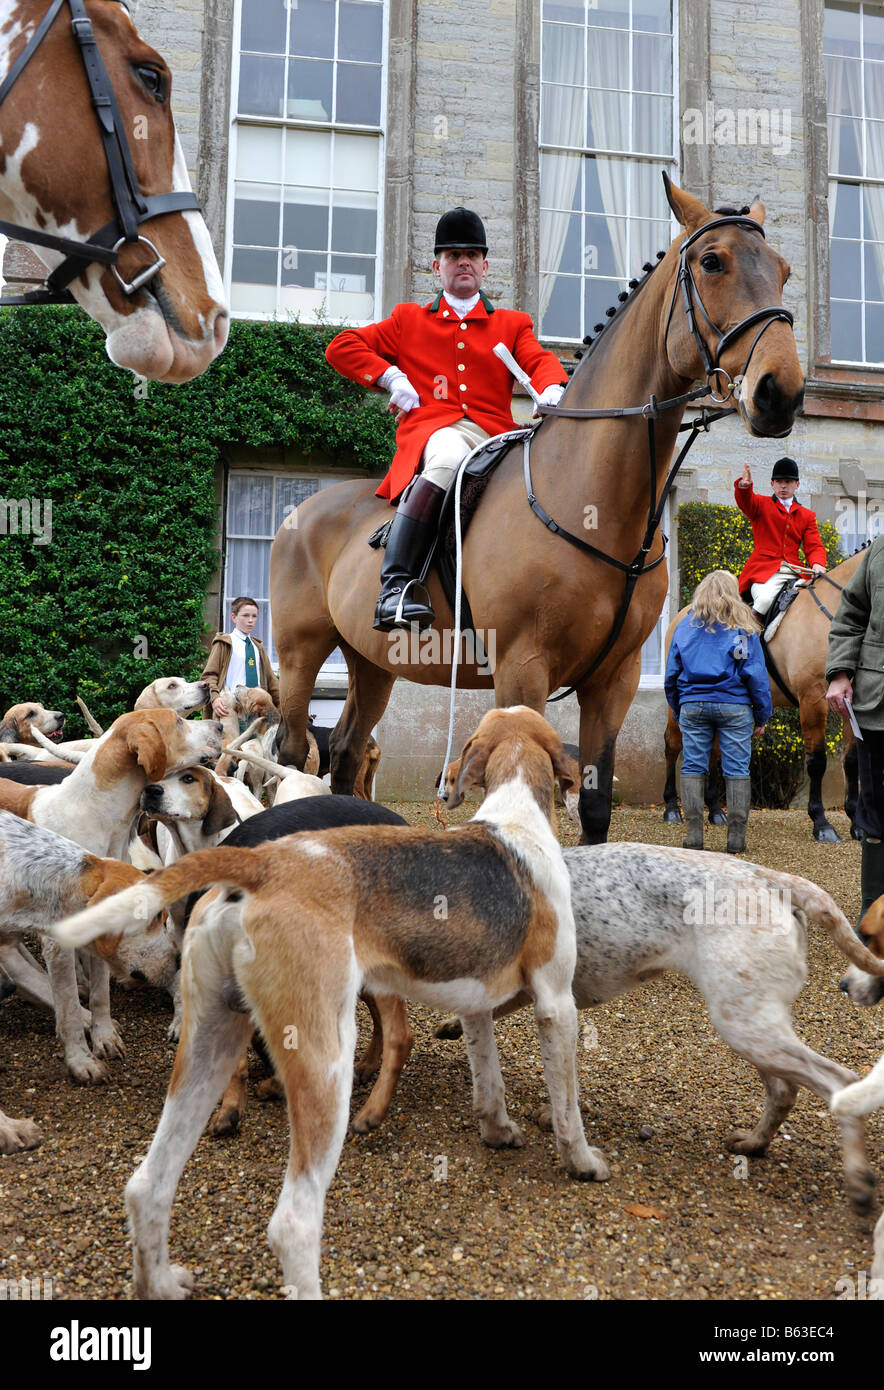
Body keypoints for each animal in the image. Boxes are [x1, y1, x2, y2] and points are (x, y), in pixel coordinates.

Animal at [661, 547, 861, 839]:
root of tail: (684, 612)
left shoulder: (850, 700)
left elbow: (852, 759)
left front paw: (857, 824)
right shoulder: (812, 698)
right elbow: (817, 761)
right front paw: (822, 823)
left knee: (715, 750)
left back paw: (716, 812)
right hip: (677, 703)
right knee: (673, 744)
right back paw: (671, 809)